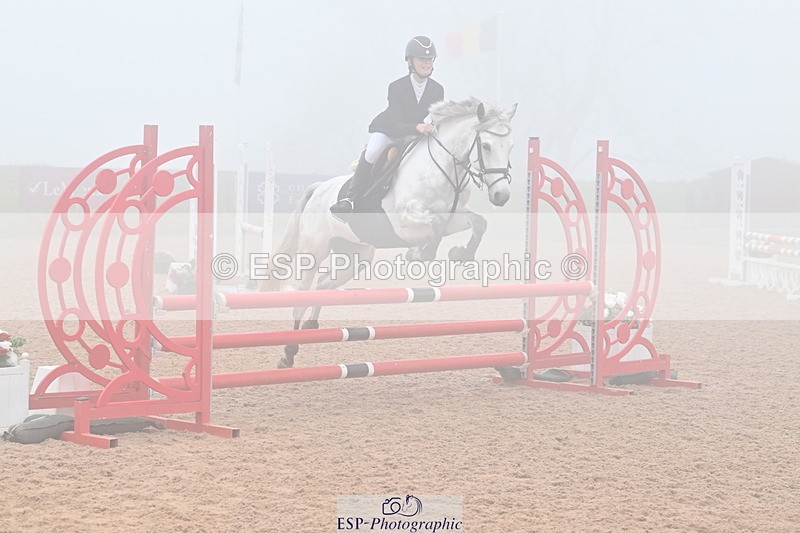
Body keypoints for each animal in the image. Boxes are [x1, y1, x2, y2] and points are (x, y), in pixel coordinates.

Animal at [264, 97, 517, 368]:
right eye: (486, 146)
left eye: (510, 146)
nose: (501, 196)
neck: (444, 168)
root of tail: (319, 188)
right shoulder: (404, 220)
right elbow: (436, 225)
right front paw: (419, 253)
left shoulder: (455, 217)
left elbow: (478, 223)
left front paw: (460, 254)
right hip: (314, 250)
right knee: (301, 296)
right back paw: (288, 354)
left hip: (356, 256)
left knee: (323, 285)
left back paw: (312, 326)